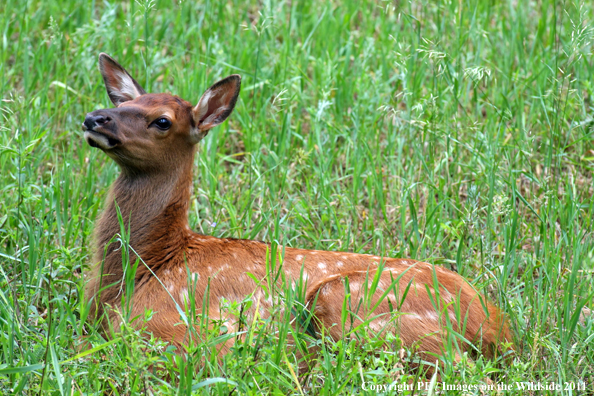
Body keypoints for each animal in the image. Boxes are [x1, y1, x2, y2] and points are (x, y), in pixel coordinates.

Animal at [82, 53, 508, 372]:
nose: (94, 117)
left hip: (352, 303)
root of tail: (495, 325)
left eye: (162, 121)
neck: (149, 264)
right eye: (123, 102)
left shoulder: (179, 329)